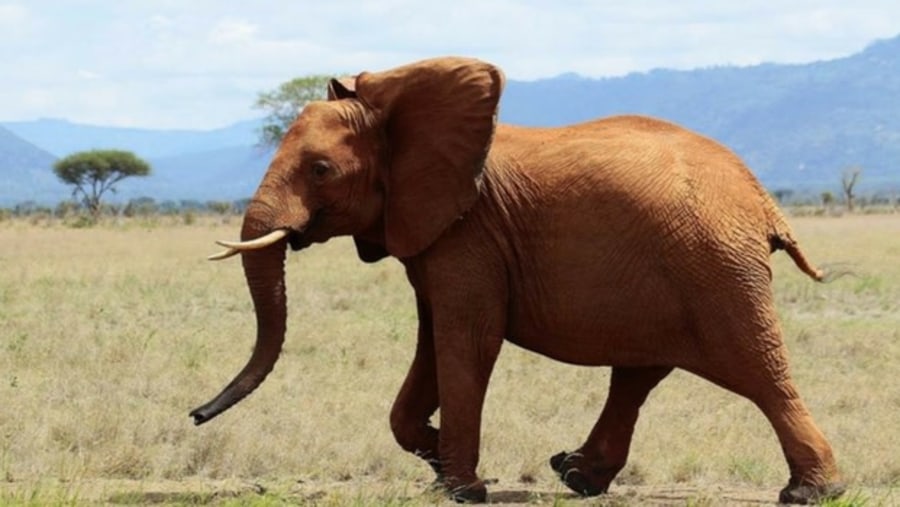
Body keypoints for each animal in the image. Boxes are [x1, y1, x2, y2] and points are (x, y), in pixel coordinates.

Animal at [190, 57, 844, 506]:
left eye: (321, 170)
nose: (195, 415)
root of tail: (761, 199)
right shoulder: (436, 235)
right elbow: (433, 340)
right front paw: (435, 456)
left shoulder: (468, 235)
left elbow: (466, 340)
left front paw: (459, 488)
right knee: (640, 372)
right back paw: (576, 474)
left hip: (715, 266)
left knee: (757, 369)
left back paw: (811, 493)